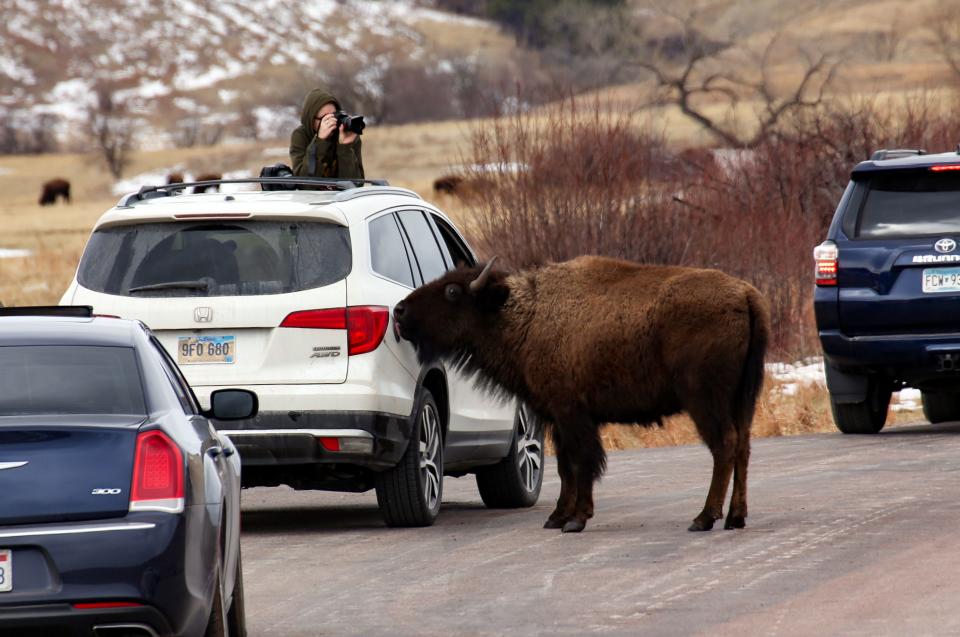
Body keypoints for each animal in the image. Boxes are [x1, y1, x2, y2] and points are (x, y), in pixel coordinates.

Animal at [392, 253, 772, 532]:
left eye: (452, 292)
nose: (399, 310)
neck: (525, 315)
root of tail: (746, 294)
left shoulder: (572, 413)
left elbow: (583, 461)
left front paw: (576, 520)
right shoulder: (556, 418)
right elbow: (565, 467)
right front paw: (556, 518)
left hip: (704, 401)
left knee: (724, 446)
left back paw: (704, 518)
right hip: (742, 399)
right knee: (743, 447)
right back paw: (735, 518)